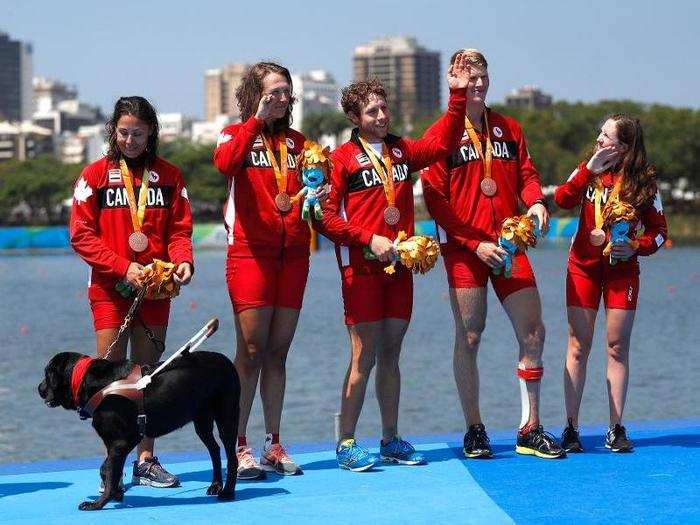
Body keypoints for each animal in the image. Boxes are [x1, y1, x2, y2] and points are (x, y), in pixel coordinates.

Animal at [38, 350, 241, 510]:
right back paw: (215, 485)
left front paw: (98, 503)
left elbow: (110, 471)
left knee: (231, 456)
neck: (94, 384)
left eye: (47, 374)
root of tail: (227, 361)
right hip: (202, 421)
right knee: (215, 449)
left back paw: (227, 492)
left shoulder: (123, 440)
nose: (39, 389)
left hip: (227, 416)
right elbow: (108, 468)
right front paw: (117, 493)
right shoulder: (118, 444)